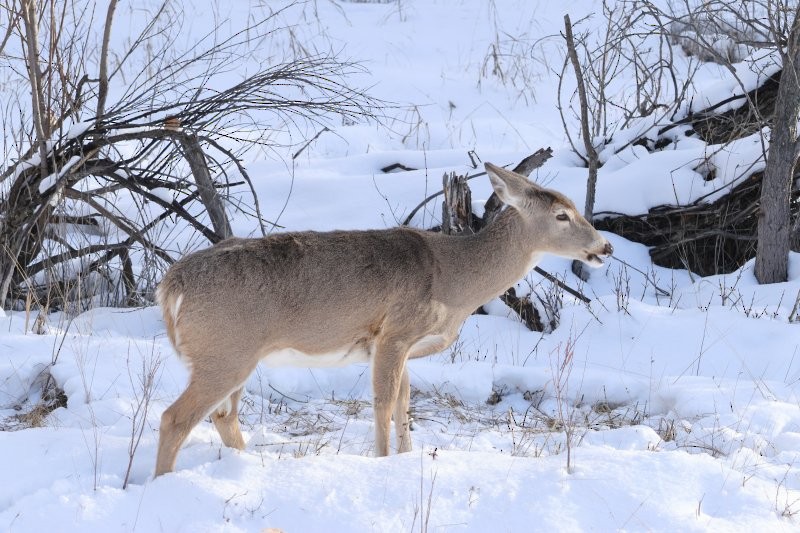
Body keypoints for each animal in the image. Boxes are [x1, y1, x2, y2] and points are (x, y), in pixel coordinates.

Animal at [154, 162, 613, 476]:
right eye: (561, 216)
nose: (604, 247)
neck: (452, 278)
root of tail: (171, 284)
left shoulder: (403, 345)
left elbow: (405, 403)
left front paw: (406, 459)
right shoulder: (393, 333)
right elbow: (383, 403)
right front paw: (382, 461)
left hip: (234, 356)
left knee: (222, 416)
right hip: (223, 351)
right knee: (175, 418)